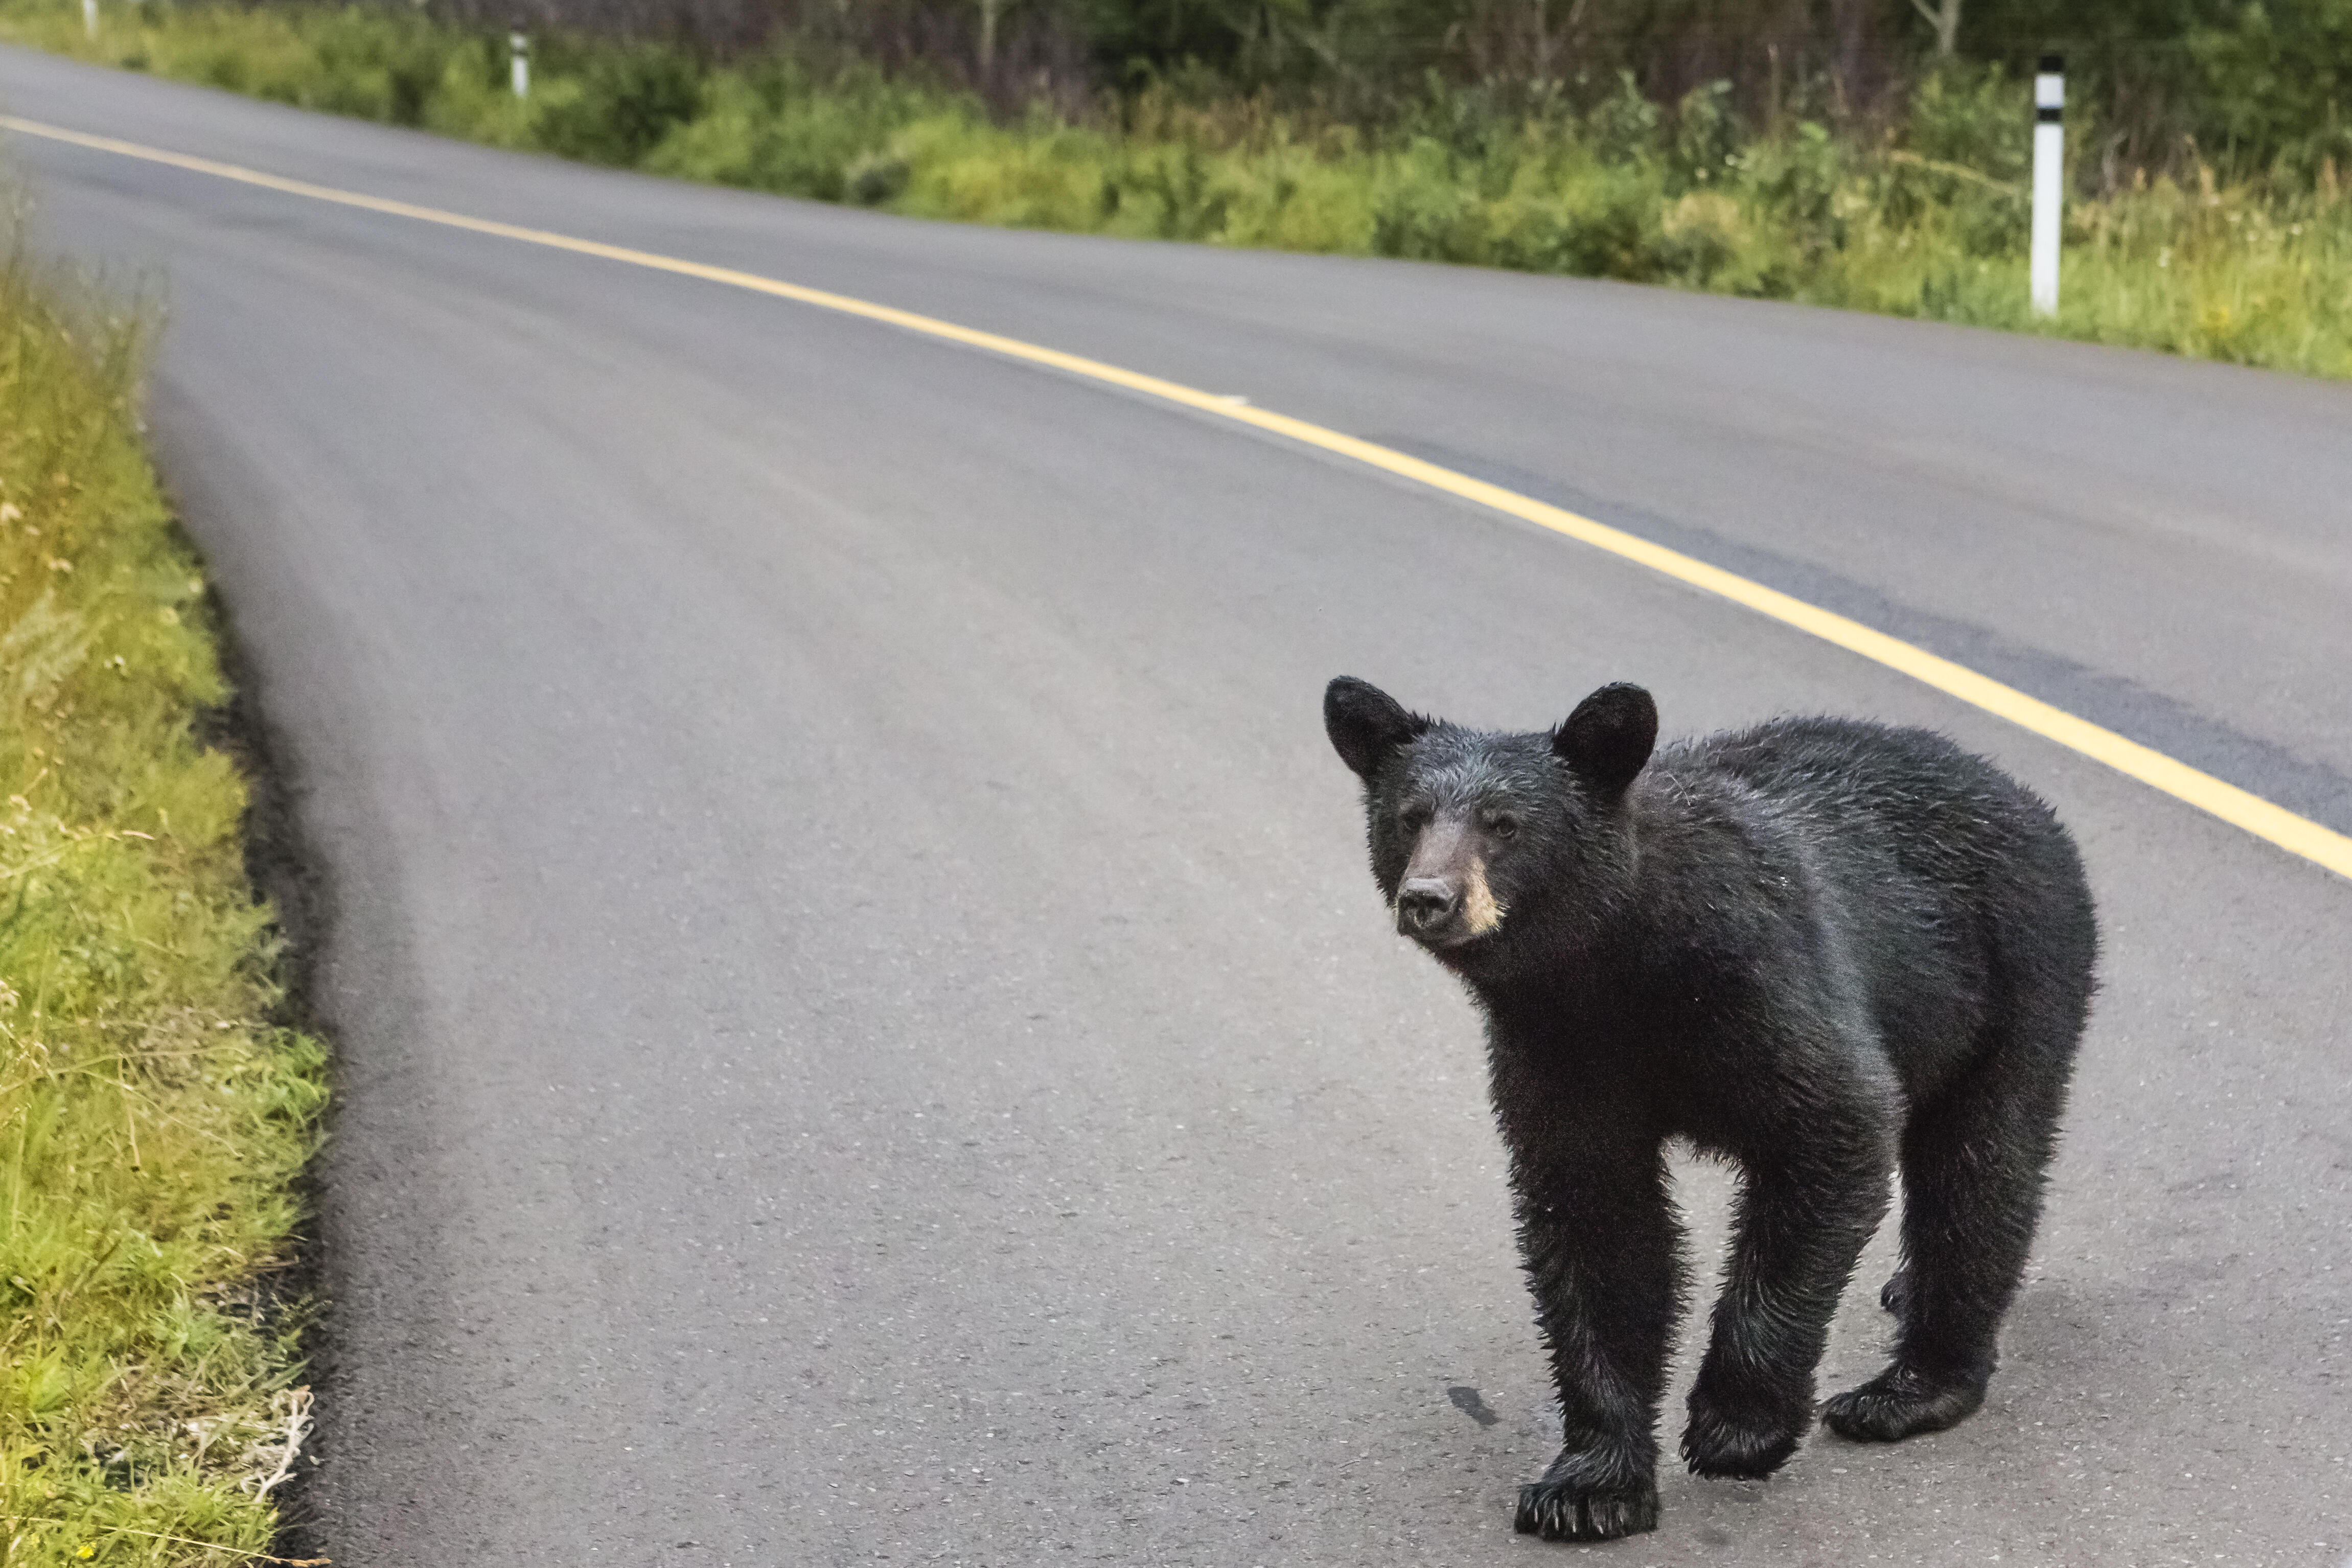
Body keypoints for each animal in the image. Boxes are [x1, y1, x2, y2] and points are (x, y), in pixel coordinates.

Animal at [1326, 677, 2097, 1542]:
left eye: (1504, 824)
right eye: (1410, 816)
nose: (1430, 899)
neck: (1612, 965)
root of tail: (2023, 797)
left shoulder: (1761, 981)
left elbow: (1834, 1130)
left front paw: (1738, 1427)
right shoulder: (1556, 1053)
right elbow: (1596, 1222)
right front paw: (1589, 1485)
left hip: (2018, 972)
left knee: (1981, 1168)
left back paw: (1910, 1388)